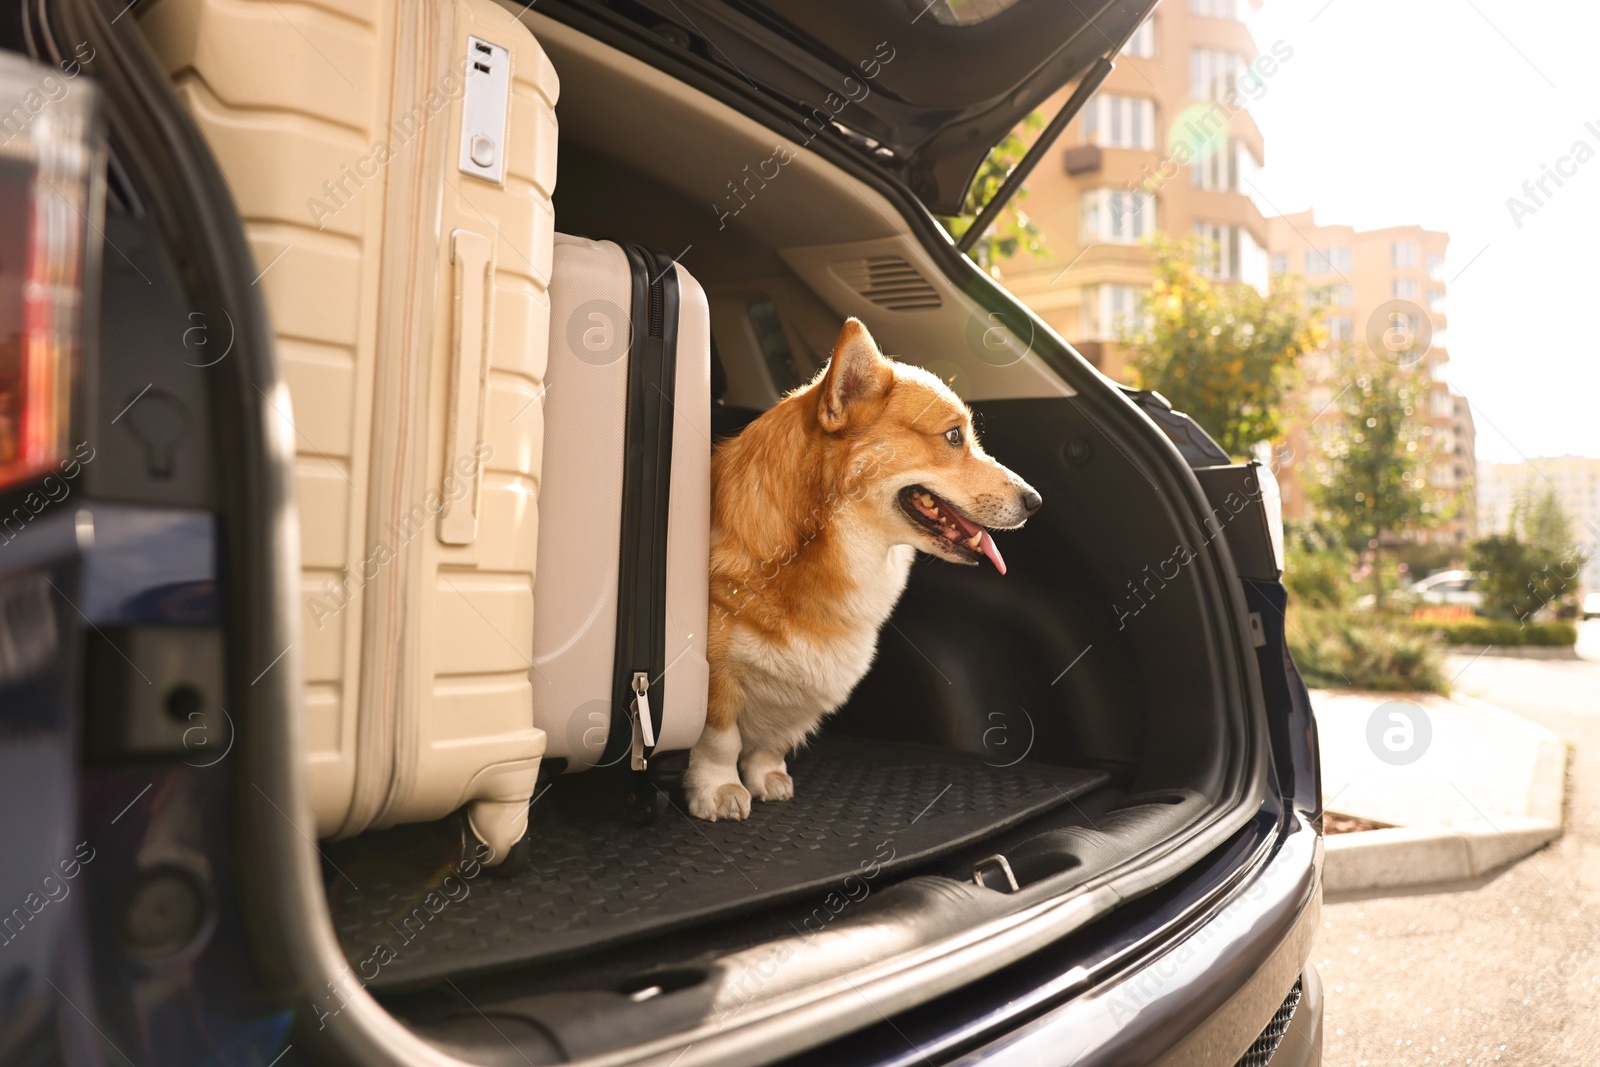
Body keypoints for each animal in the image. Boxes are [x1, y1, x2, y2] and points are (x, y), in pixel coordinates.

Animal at [684, 315, 1036, 819]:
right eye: (953, 436)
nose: (1036, 501)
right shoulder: (714, 675)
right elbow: (720, 738)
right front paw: (718, 790)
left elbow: (771, 742)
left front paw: (767, 777)